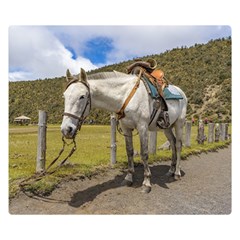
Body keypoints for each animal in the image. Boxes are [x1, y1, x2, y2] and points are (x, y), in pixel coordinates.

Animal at [60, 68, 188, 192]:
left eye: (82, 96)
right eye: (64, 96)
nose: (66, 129)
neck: (125, 96)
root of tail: (181, 93)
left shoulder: (142, 127)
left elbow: (144, 153)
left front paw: (146, 182)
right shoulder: (126, 128)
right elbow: (129, 151)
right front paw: (129, 178)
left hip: (179, 124)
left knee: (178, 145)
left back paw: (177, 173)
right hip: (167, 127)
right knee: (172, 143)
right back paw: (171, 170)